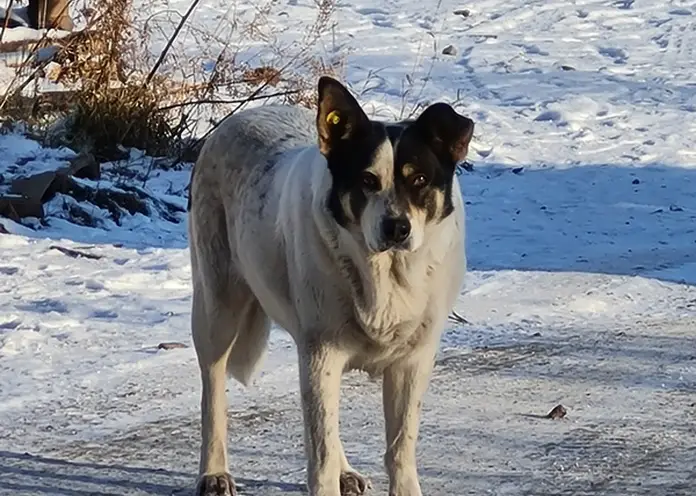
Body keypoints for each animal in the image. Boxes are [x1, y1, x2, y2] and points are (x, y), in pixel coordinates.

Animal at [188, 75, 476, 494]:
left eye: (420, 179)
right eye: (367, 181)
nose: (397, 228)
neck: (385, 275)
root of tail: (237, 119)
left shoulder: (412, 361)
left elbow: (399, 448)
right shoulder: (321, 353)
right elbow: (319, 453)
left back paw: (345, 470)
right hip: (217, 307)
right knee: (213, 388)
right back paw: (214, 472)